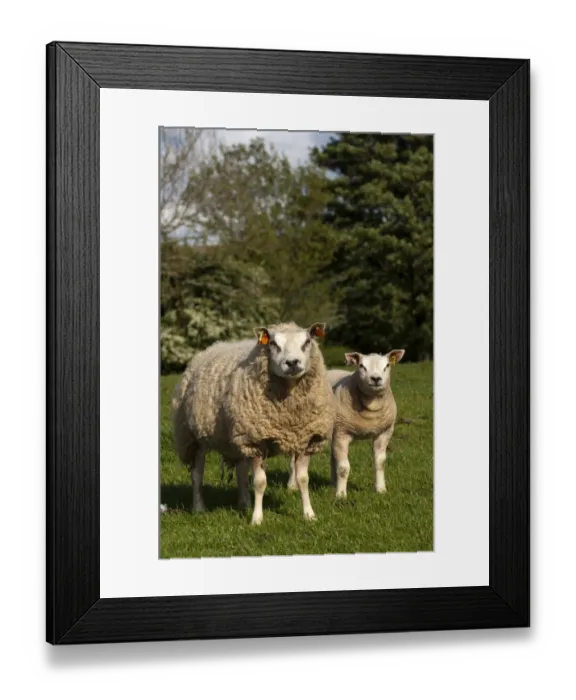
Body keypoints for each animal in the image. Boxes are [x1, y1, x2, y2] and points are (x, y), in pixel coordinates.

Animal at [171, 321, 336, 525]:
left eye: (307, 342)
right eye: (273, 344)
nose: (292, 363)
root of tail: (210, 349)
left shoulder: (307, 438)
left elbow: (303, 479)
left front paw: (309, 514)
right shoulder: (256, 441)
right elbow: (259, 483)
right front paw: (257, 519)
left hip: (238, 437)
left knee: (241, 471)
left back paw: (244, 504)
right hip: (193, 437)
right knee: (196, 474)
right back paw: (199, 508)